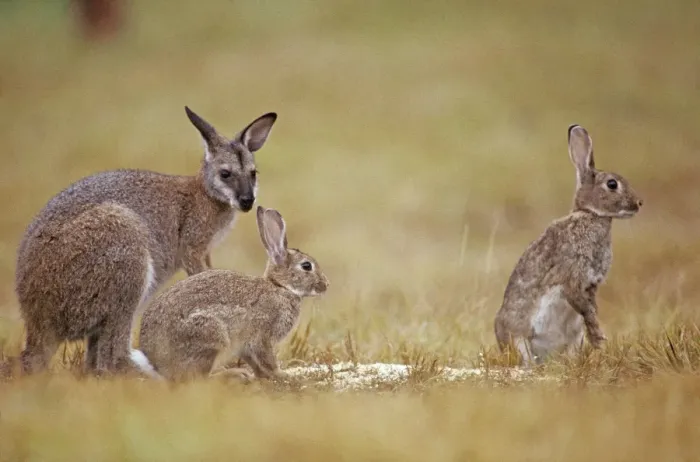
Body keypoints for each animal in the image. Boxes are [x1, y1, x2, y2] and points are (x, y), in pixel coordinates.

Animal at [15, 106, 277, 375]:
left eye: (253, 173)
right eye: (225, 174)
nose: (247, 201)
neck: (206, 195)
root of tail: (38, 325)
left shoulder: (205, 250)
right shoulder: (192, 244)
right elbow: (201, 274)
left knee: (97, 362)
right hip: (123, 248)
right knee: (112, 356)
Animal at [130, 206, 329, 381]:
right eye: (306, 266)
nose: (326, 285)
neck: (280, 287)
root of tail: (157, 363)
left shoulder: (245, 345)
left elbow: (254, 361)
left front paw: (262, 376)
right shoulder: (263, 335)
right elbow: (268, 359)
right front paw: (283, 375)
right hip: (211, 336)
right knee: (197, 379)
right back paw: (234, 375)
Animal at [494, 124, 643, 365]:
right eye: (612, 184)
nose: (639, 203)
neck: (590, 215)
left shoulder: (591, 285)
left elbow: (591, 310)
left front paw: (598, 340)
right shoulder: (573, 275)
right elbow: (583, 306)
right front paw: (600, 338)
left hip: (573, 337)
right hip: (518, 338)